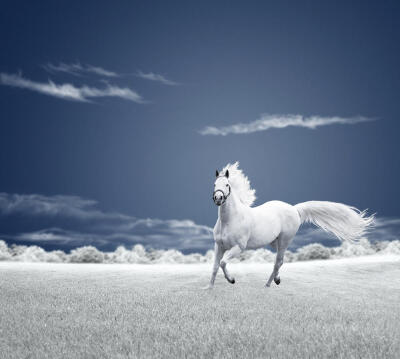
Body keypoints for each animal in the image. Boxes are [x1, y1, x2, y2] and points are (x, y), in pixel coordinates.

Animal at [206, 163, 376, 290]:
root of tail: (294, 209)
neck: (230, 220)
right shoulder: (219, 246)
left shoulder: (238, 247)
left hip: (284, 240)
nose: (218, 198)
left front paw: (232, 280)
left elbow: (222, 263)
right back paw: (277, 279)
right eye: (214, 184)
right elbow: (215, 266)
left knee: (278, 262)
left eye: (227, 185)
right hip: (274, 241)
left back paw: (268, 284)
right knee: (280, 261)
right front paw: (209, 288)